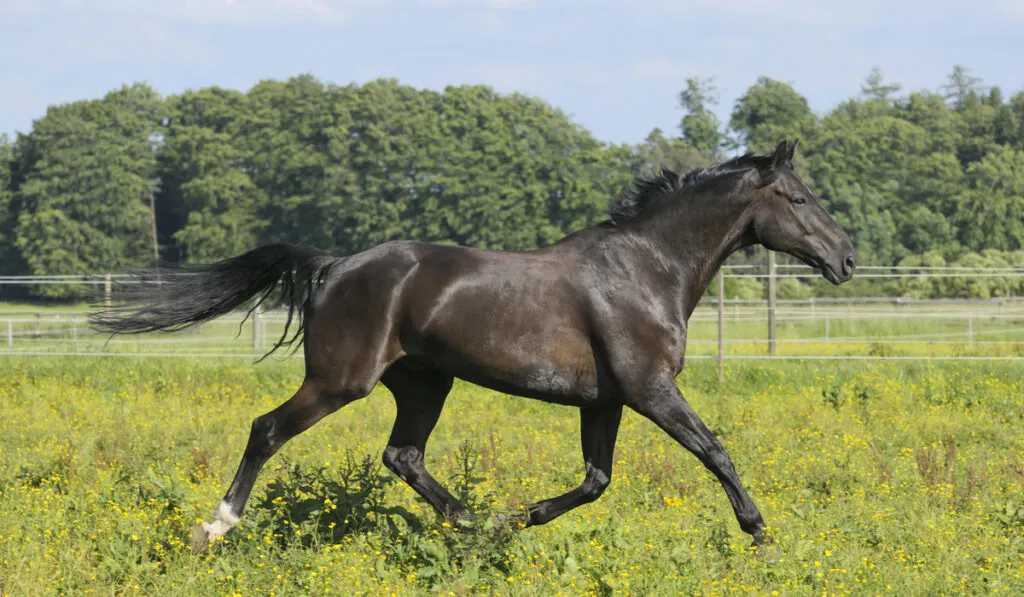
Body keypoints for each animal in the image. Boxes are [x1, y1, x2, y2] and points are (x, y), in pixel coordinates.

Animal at [90, 139, 856, 552]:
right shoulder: (650, 388)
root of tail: (334, 267)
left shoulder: (605, 400)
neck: (646, 268)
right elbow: (714, 450)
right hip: (341, 381)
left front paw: (523, 517)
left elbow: (595, 480)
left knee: (402, 454)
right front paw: (760, 535)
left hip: (425, 382)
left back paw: (476, 524)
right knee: (267, 430)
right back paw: (214, 528)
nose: (846, 257)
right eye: (797, 198)